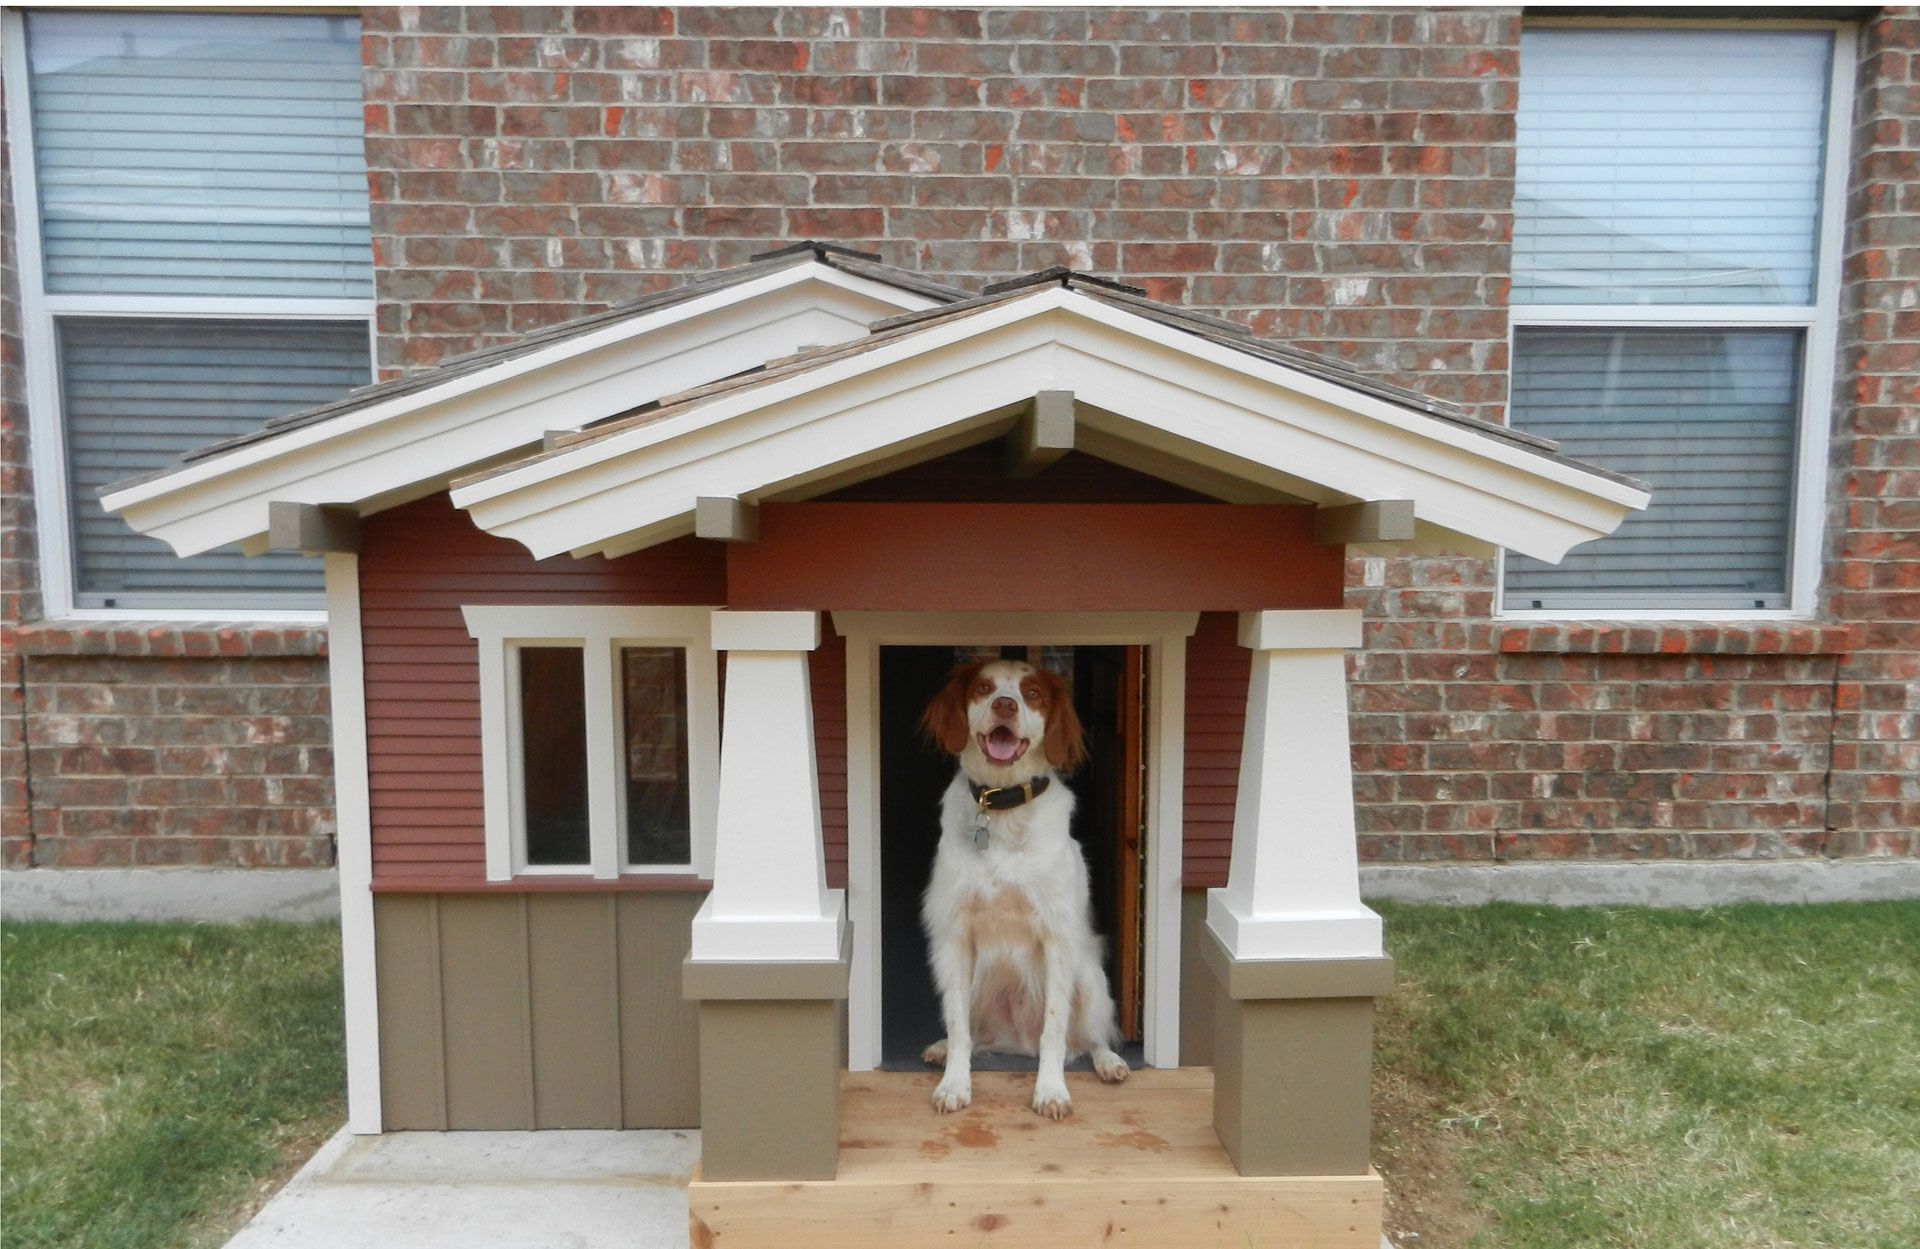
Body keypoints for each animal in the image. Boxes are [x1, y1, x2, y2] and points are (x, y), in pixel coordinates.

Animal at [913, 659, 1121, 1120]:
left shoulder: (1058, 936)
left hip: (1089, 973)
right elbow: (959, 1028)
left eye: (1032, 693)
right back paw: (942, 1049)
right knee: (972, 1034)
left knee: (1090, 1037)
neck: (1002, 806)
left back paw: (1109, 1062)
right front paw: (954, 1085)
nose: (1005, 705)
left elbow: (1054, 1028)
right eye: (984, 687)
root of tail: (1016, 1043)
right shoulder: (954, 937)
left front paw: (1052, 1091)